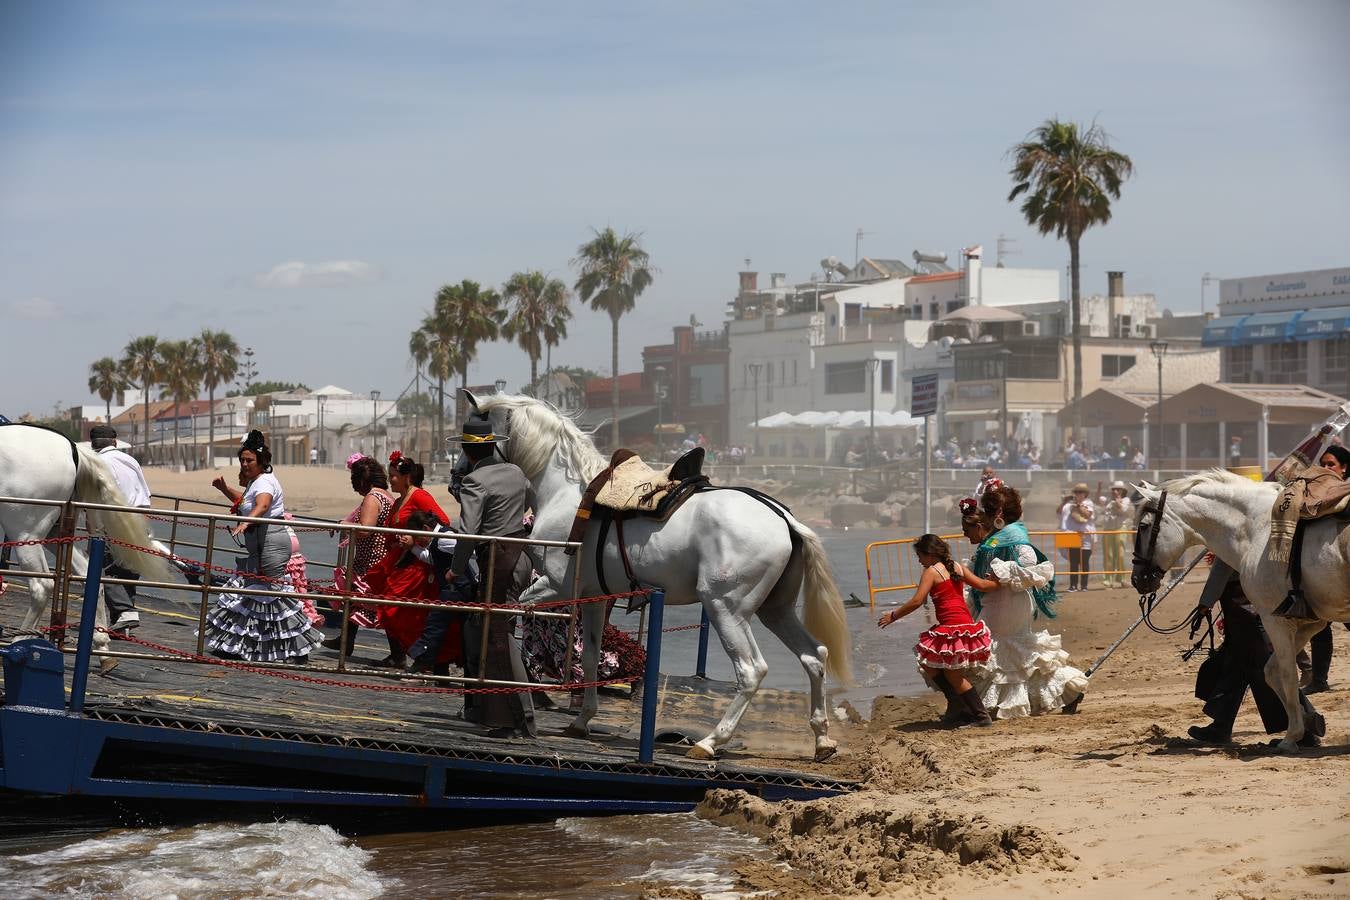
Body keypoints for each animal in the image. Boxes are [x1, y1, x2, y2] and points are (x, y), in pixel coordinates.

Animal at [0, 426, 174, 650]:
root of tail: (72, 448)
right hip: (55, 532)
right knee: (87, 573)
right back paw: (101, 644)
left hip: (26, 532)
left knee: (42, 586)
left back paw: (18, 643)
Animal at [475, 394, 847, 761]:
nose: (464, 470)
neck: (567, 492)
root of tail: (783, 518)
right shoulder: (596, 596)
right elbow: (591, 656)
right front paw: (582, 719)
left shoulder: (556, 586)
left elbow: (513, 614)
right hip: (775, 610)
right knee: (814, 656)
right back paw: (822, 739)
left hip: (725, 609)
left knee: (751, 670)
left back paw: (711, 741)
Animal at [1128, 472, 1350, 755]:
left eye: (1145, 526)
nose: (1138, 579)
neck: (1259, 529)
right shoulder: (1312, 621)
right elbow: (1271, 670)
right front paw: (1308, 723)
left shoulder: (1275, 620)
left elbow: (1287, 674)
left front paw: (1291, 737)